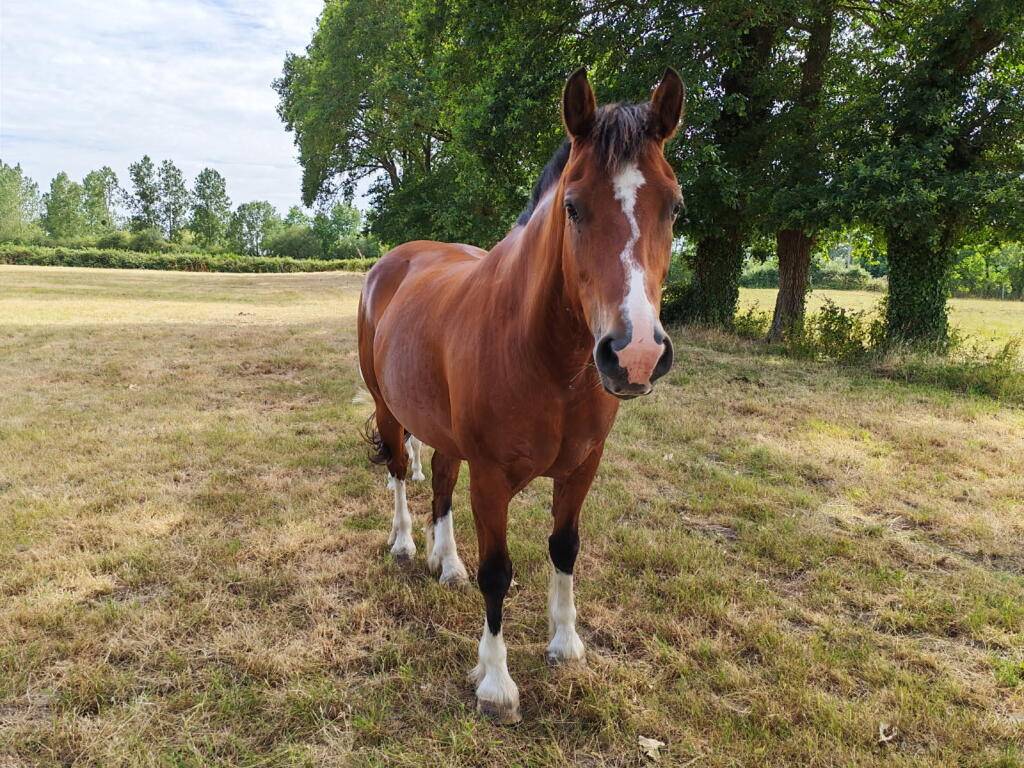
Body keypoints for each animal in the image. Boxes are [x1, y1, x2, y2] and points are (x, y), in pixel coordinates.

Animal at [357, 67, 684, 723]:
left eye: (675, 207)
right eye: (573, 206)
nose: (635, 354)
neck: (546, 361)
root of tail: (394, 262)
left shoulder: (582, 467)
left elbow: (564, 548)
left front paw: (566, 644)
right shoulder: (491, 477)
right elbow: (498, 572)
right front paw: (496, 684)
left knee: (441, 480)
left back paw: (446, 562)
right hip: (387, 407)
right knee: (403, 469)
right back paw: (405, 545)